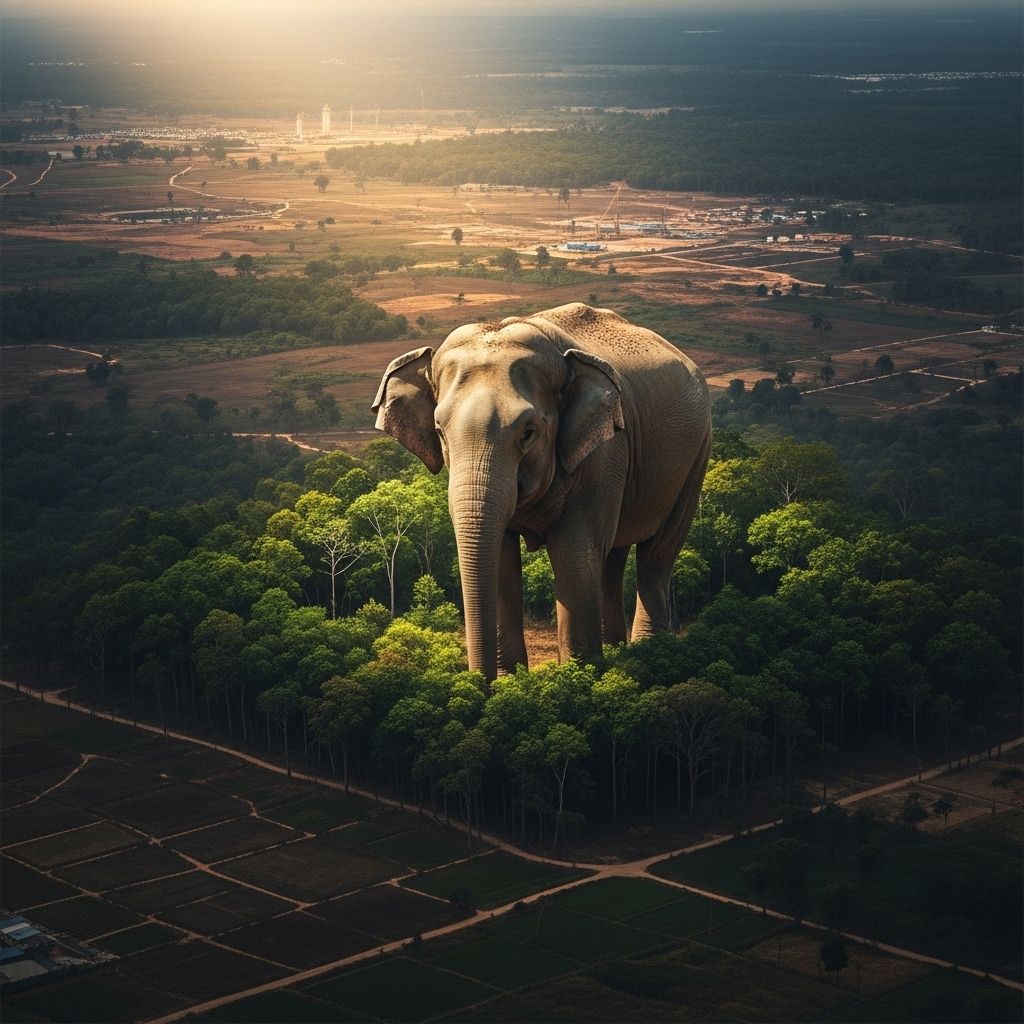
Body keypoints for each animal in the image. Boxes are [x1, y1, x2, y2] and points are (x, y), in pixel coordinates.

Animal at [372, 302, 711, 681]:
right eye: (440, 431)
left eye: (528, 433)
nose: (478, 685)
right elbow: (502, 561)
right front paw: (512, 683)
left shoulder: (605, 451)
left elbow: (573, 552)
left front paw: (578, 679)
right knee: (612, 556)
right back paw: (618, 653)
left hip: (697, 454)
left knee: (656, 554)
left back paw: (647, 652)